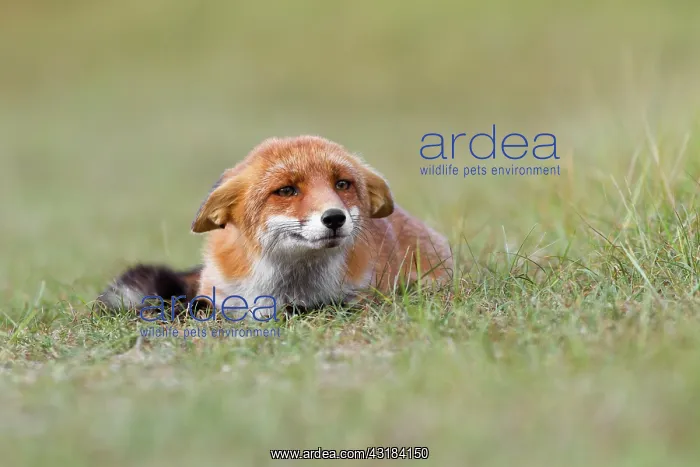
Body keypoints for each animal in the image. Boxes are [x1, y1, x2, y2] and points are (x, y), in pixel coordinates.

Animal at [95, 135, 453, 316]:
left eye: (342, 184)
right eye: (286, 190)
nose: (335, 218)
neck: (284, 289)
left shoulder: (362, 294)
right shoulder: (218, 294)